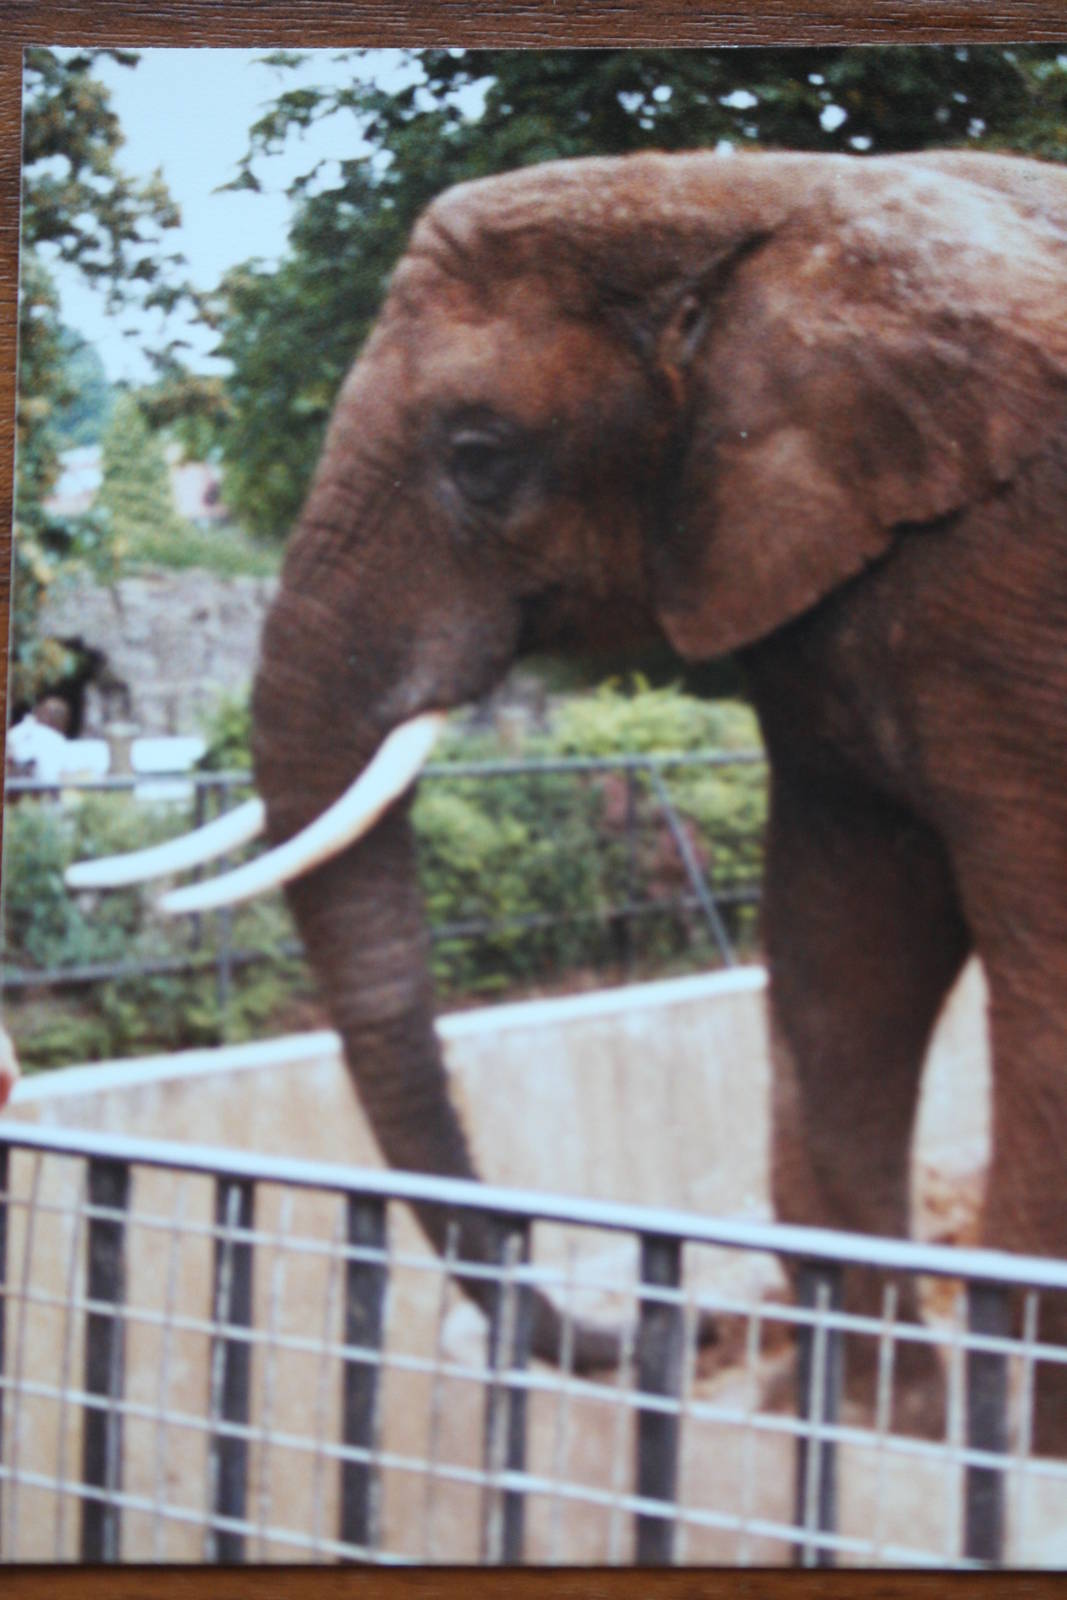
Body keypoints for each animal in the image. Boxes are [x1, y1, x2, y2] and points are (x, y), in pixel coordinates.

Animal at [71, 148, 1067, 1443]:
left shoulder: (1006, 579)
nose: (665, 1331)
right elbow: (841, 954)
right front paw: (852, 1428)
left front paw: (1011, 1448)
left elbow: (1035, 977)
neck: (773, 207)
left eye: (479, 454)